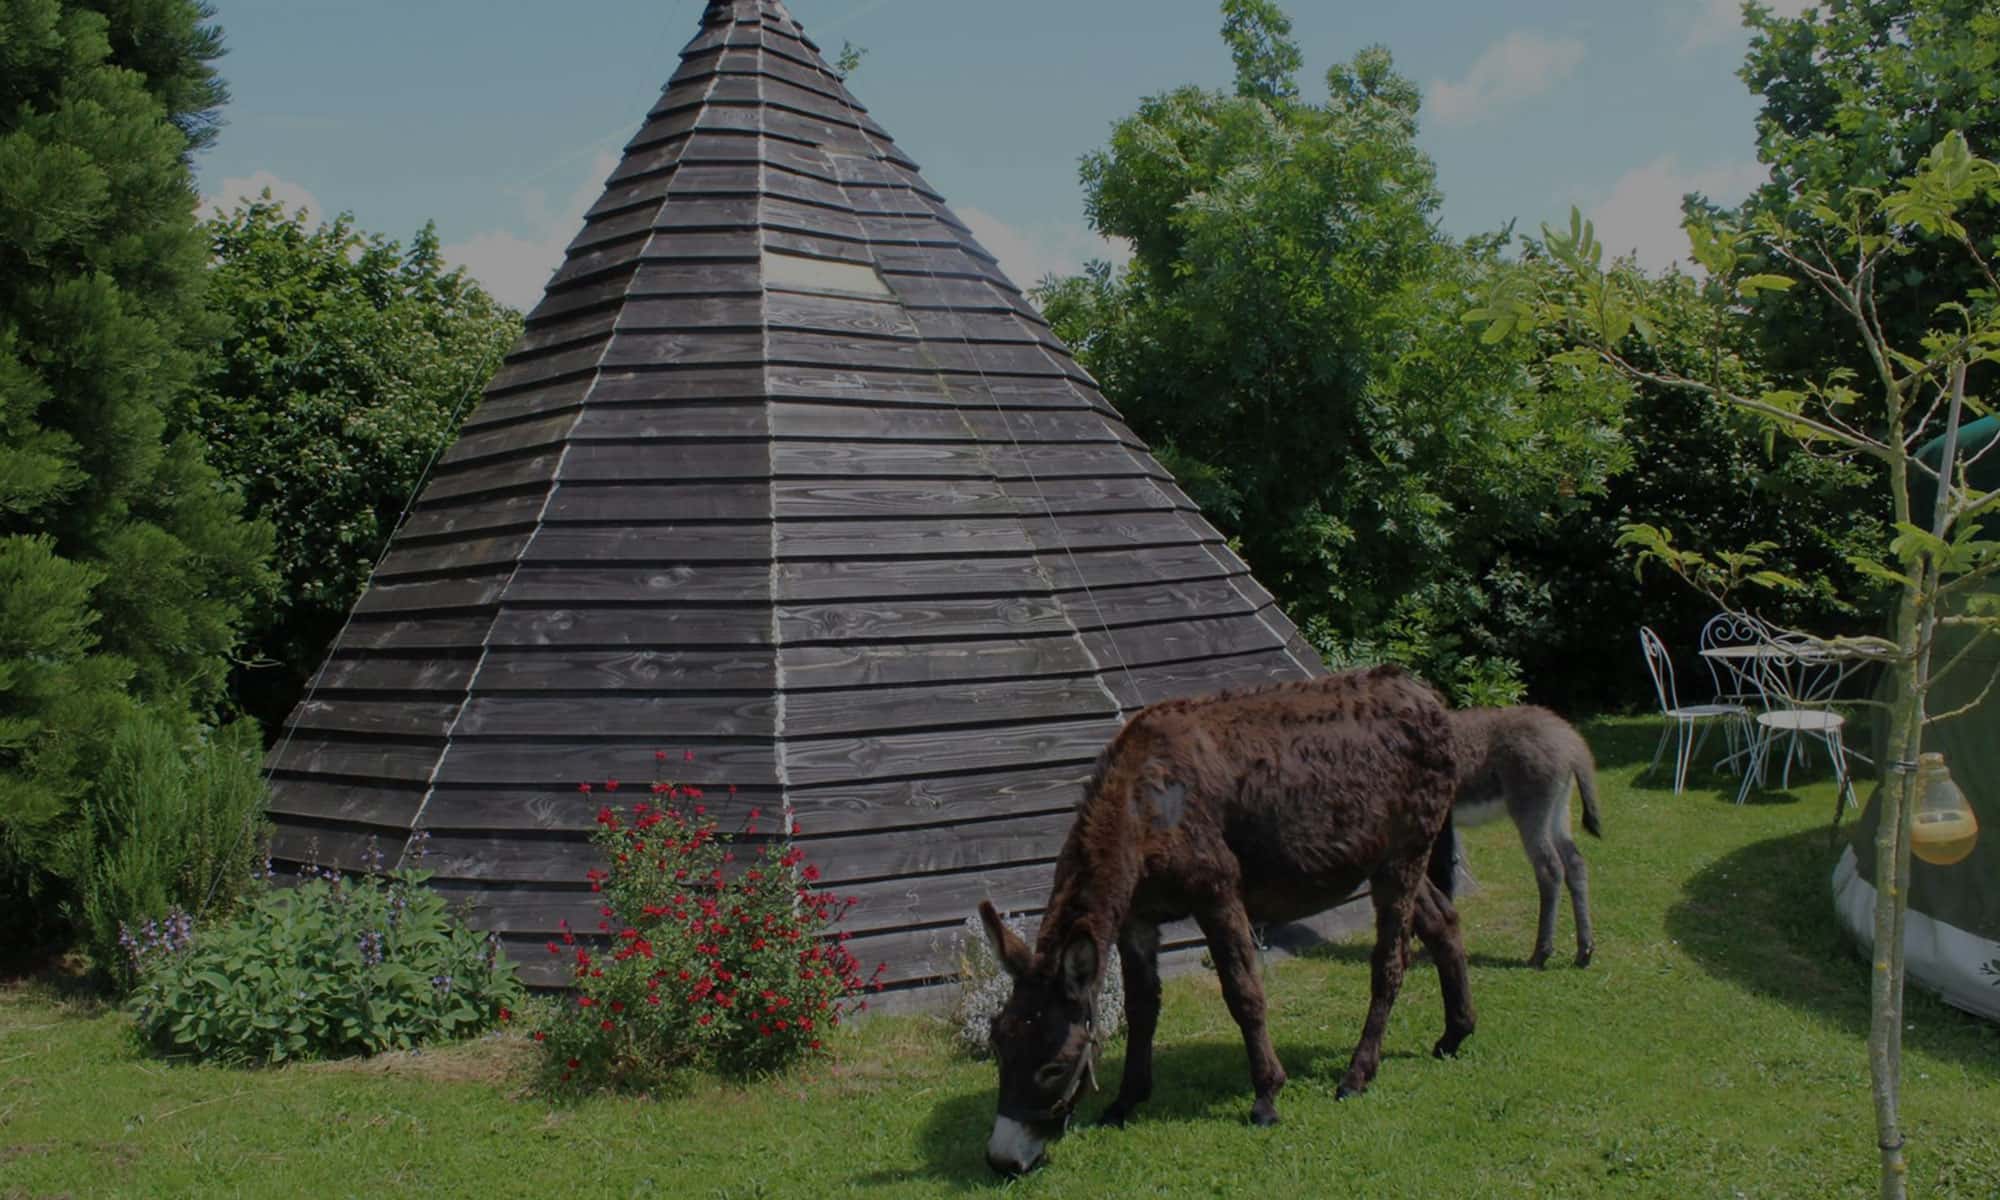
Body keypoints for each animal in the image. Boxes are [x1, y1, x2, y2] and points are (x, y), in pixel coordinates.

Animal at [1448, 704, 1600, 964]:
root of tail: (1570, 740)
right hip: (1559, 811)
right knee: (1575, 864)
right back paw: (1584, 951)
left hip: (1531, 810)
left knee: (1549, 869)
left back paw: (1541, 953)